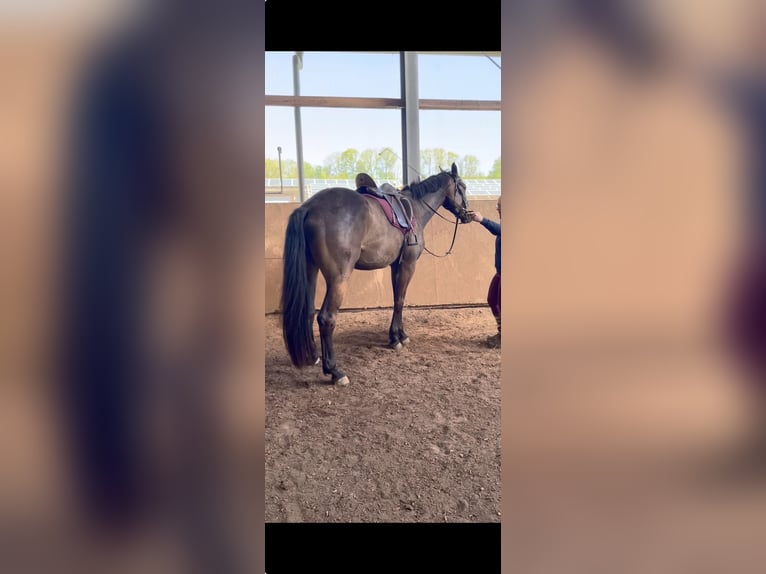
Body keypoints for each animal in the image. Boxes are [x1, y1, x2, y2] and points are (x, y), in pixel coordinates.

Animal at [280, 162, 470, 386]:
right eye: (463, 187)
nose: (467, 214)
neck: (415, 209)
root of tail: (309, 207)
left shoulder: (396, 265)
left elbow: (397, 298)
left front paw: (399, 335)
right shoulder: (408, 264)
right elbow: (400, 300)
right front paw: (396, 338)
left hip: (311, 269)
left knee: (309, 311)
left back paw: (313, 357)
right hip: (338, 278)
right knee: (326, 318)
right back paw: (335, 371)